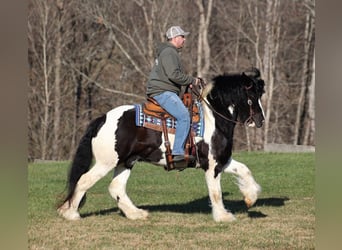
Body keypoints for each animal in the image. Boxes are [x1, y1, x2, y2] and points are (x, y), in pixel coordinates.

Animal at [57, 67, 266, 222]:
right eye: (251, 97)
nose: (261, 121)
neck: (213, 119)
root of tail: (103, 118)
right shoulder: (212, 165)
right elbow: (216, 193)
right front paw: (223, 216)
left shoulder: (222, 160)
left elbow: (244, 170)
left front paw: (250, 198)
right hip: (106, 162)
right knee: (84, 180)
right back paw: (71, 213)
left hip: (126, 162)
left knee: (116, 187)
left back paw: (136, 213)